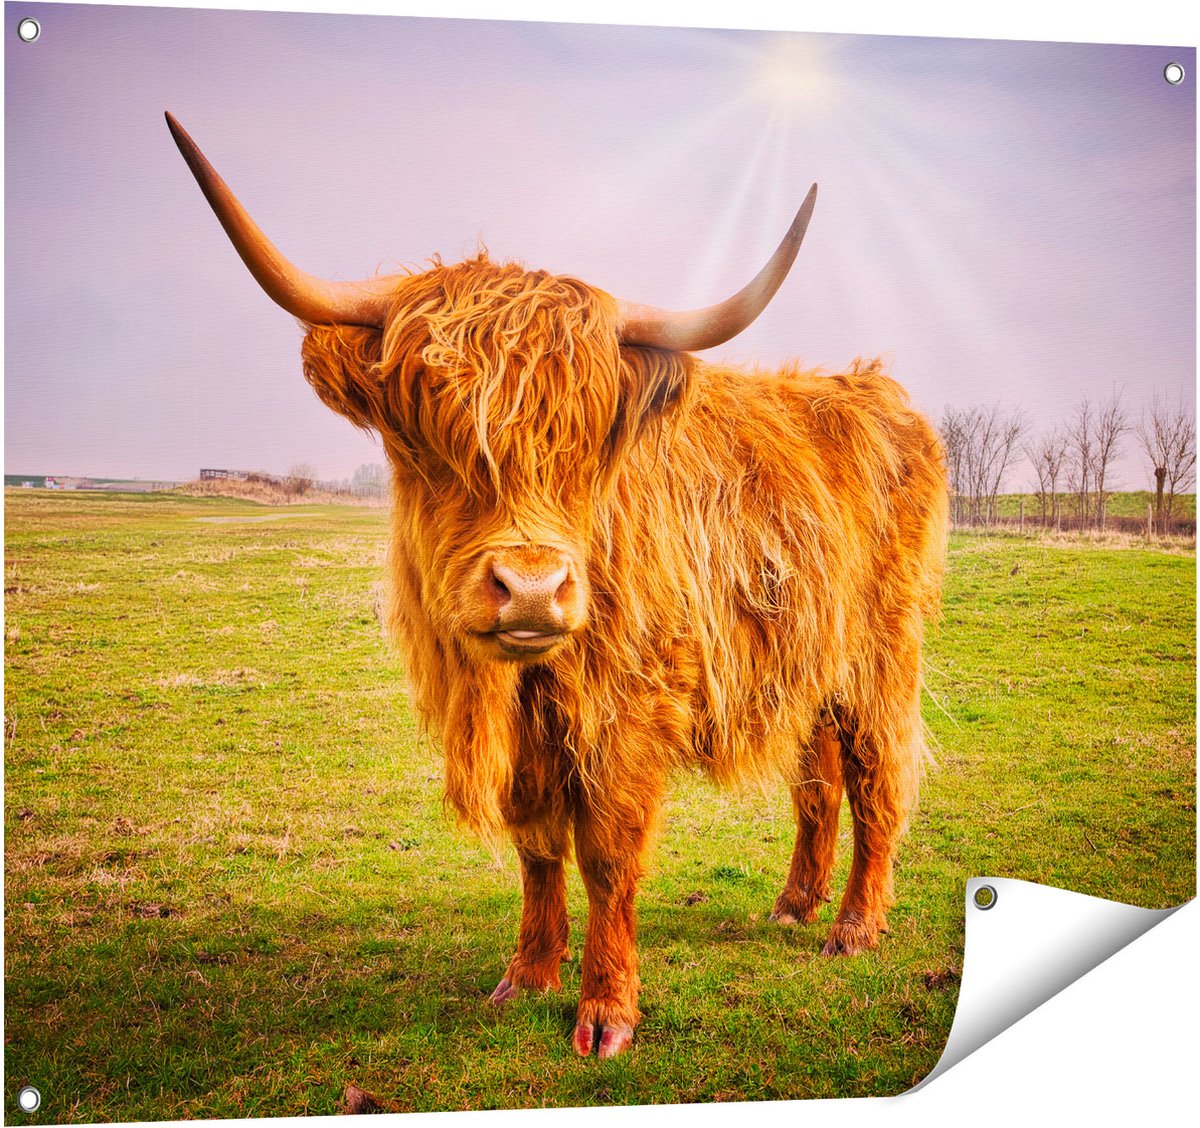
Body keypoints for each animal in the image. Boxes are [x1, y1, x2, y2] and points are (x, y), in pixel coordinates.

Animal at [167, 112, 948, 1060]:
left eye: (586, 441)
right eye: (429, 435)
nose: (534, 589)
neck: (526, 683)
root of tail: (873, 387)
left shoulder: (630, 708)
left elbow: (607, 853)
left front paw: (606, 1012)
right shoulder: (529, 734)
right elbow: (538, 844)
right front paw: (529, 975)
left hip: (882, 654)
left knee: (877, 776)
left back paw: (855, 925)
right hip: (810, 656)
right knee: (820, 776)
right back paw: (795, 904)